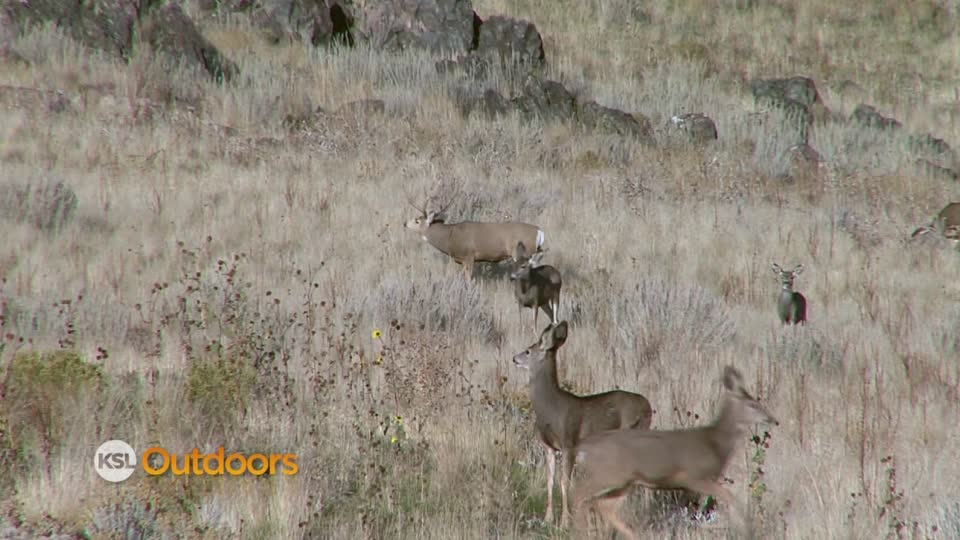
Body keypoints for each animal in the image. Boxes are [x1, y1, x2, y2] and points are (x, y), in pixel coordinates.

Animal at [404, 197, 545, 280]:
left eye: (417, 221)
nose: (404, 223)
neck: (450, 236)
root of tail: (539, 231)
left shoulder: (469, 256)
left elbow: (468, 279)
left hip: (524, 252)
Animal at [512, 321, 653, 527]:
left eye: (528, 350)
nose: (514, 358)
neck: (550, 408)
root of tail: (647, 406)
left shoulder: (569, 442)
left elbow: (565, 481)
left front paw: (565, 521)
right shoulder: (548, 446)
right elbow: (550, 480)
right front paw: (547, 519)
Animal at [571, 366, 778, 540]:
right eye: (752, 404)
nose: (773, 420)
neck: (715, 443)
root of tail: (582, 447)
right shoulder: (693, 477)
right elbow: (727, 497)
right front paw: (745, 530)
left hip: (625, 481)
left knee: (603, 505)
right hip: (608, 474)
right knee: (578, 495)